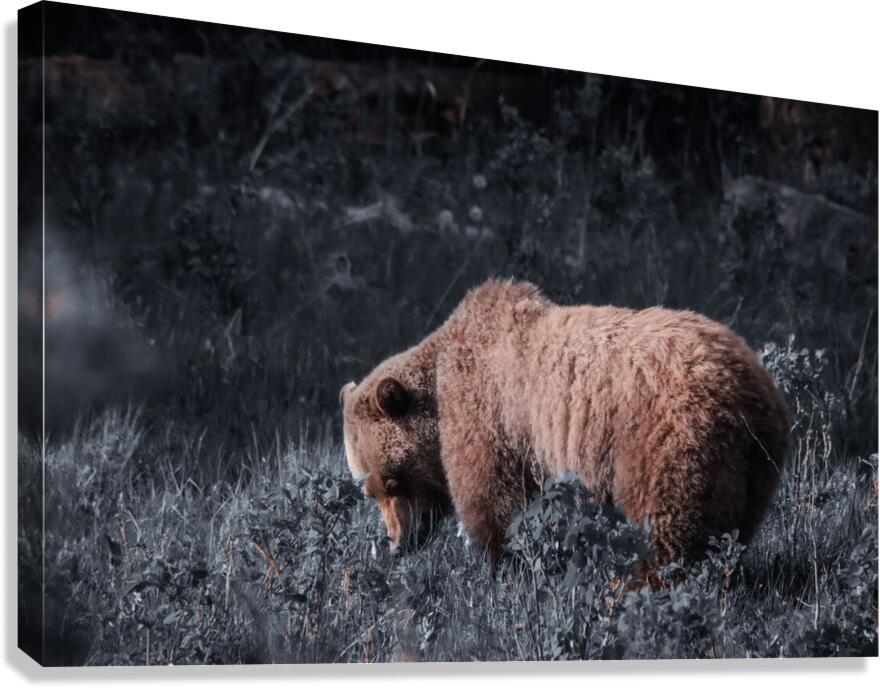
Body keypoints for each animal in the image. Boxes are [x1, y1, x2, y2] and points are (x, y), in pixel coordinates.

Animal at [340, 279, 788, 567]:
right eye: (369, 492)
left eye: (393, 481)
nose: (398, 544)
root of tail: (748, 386)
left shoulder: (490, 419)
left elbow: (494, 503)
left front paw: (501, 564)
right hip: (756, 464)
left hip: (666, 437)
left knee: (667, 523)